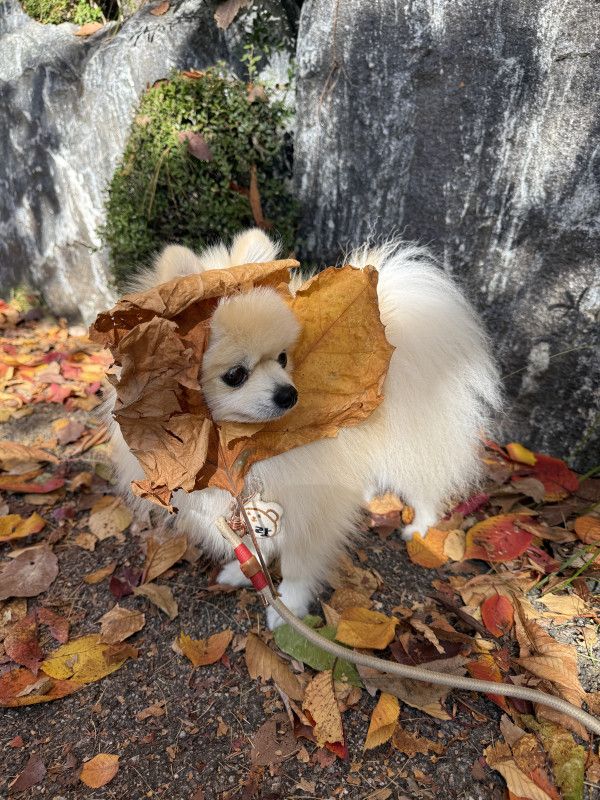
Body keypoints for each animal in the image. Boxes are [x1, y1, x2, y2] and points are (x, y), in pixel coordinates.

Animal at [105, 229, 501, 628]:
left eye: (282, 358)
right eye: (235, 375)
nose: (288, 394)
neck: (240, 449)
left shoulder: (310, 511)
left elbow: (297, 565)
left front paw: (289, 607)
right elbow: (254, 547)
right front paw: (245, 573)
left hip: (412, 447)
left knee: (426, 486)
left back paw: (420, 527)